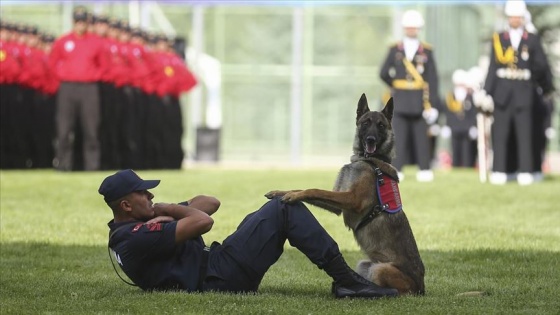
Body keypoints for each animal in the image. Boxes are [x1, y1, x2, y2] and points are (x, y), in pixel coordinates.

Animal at [266, 94, 424, 296]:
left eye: (381, 125)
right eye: (366, 123)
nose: (371, 139)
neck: (369, 160)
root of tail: (422, 286)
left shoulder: (352, 200)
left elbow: (314, 189)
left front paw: (292, 197)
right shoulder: (337, 203)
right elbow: (303, 189)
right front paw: (281, 193)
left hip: (380, 269)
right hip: (365, 264)